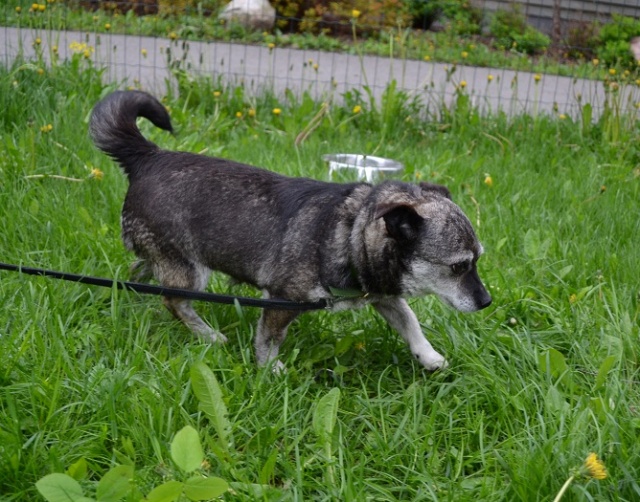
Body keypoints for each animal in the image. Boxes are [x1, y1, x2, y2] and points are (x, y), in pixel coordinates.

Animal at [89, 90, 491, 371]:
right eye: (459, 266)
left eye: (477, 261)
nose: (487, 302)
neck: (347, 231)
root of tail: (148, 157)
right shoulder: (282, 299)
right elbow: (268, 338)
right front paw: (269, 370)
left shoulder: (383, 295)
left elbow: (411, 322)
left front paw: (428, 356)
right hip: (190, 270)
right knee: (174, 301)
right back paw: (207, 335)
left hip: (166, 260)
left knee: (141, 273)